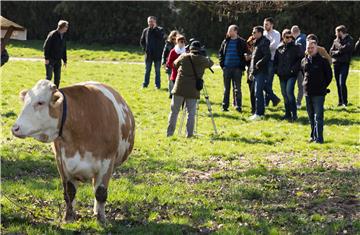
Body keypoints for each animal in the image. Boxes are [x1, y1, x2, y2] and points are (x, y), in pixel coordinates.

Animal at [11, 80, 135, 223]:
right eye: (25, 100)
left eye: (40, 102)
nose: (15, 128)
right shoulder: (62, 162)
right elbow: (70, 192)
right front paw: (69, 217)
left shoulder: (107, 163)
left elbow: (100, 192)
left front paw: (101, 219)